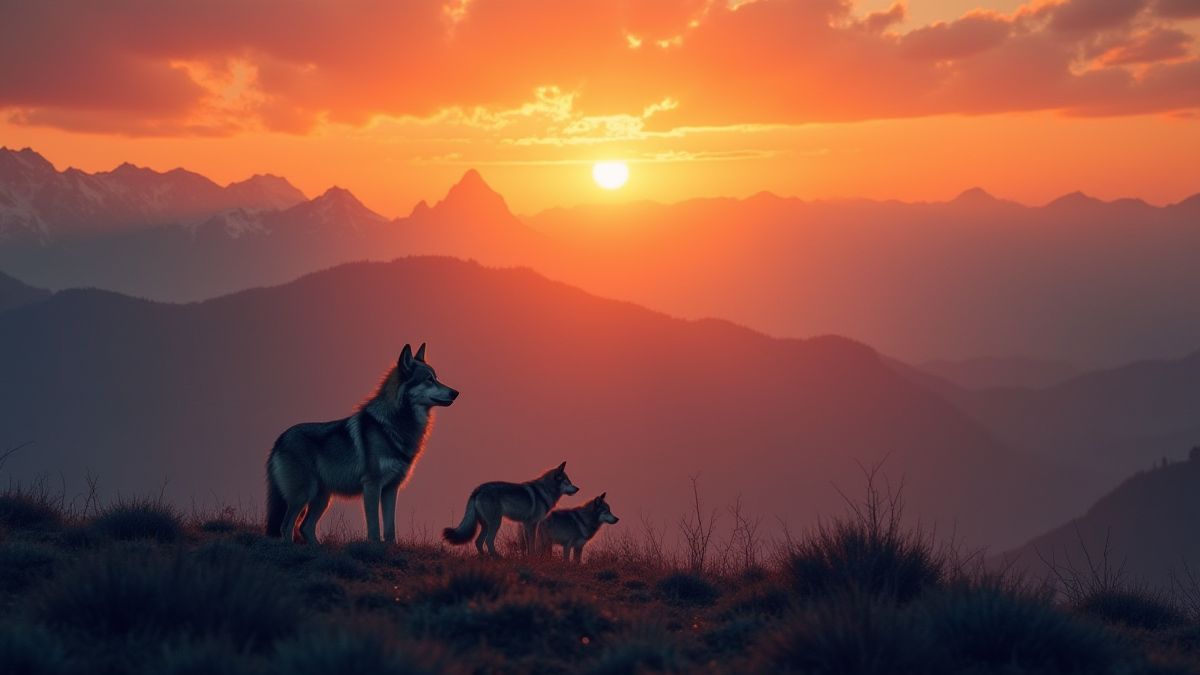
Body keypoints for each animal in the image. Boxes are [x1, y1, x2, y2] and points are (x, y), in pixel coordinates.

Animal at [265, 343, 458, 543]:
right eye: (429, 379)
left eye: (437, 378)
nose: (456, 392)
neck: (393, 425)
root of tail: (279, 439)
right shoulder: (372, 486)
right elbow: (374, 527)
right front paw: (374, 546)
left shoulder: (391, 489)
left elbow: (390, 529)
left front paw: (389, 547)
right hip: (304, 495)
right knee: (286, 527)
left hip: (322, 498)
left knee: (305, 527)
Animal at [442, 462, 579, 556]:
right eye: (567, 482)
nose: (578, 488)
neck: (545, 491)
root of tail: (478, 489)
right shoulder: (532, 524)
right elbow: (532, 544)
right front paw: (533, 557)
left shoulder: (526, 524)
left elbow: (527, 544)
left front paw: (528, 557)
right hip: (496, 523)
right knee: (488, 541)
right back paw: (497, 557)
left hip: (486, 525)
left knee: (478, 542)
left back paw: (485, 557)